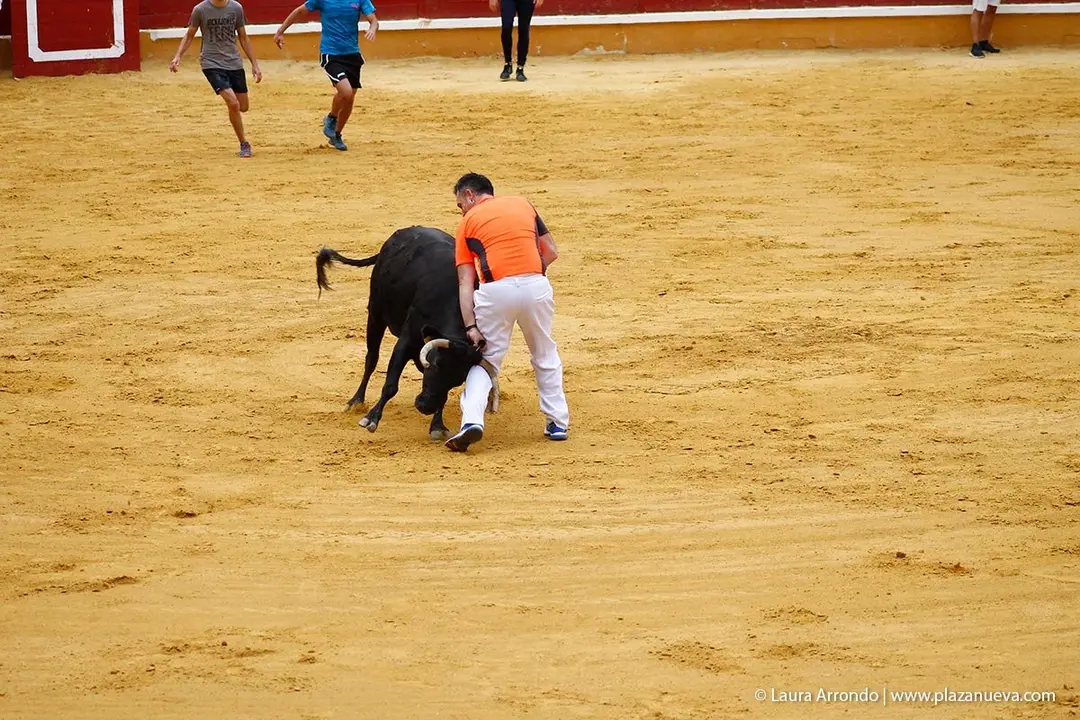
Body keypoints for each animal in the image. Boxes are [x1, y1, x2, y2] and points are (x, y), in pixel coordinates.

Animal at [315, 225, 499, 440]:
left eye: (459, 379)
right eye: (435, 365)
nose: (425, 407)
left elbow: (442, 396)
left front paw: (437, 426)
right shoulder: (406, 340)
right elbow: (390, 384)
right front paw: (371, 419)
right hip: (375, 313)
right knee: (371, 359)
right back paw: (355, 402)